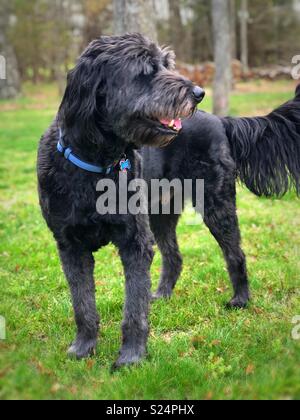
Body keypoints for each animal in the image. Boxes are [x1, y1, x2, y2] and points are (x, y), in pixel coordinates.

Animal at [37, 33, 204, 368]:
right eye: (146, 70)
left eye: (167, 64)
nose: (199, 93)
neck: (96, 164)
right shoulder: (69, 246)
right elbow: (82, 305)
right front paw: (84, 346)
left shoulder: (135, 242)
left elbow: (134, 309)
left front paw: (131, 355)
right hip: (161, 214)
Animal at [143, 86, 300, 308]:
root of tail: (220, 122)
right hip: (162, 209)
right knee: (173, 256)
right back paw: (162, 295)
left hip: (216, 204)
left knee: (236, 254)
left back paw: (240, 300)